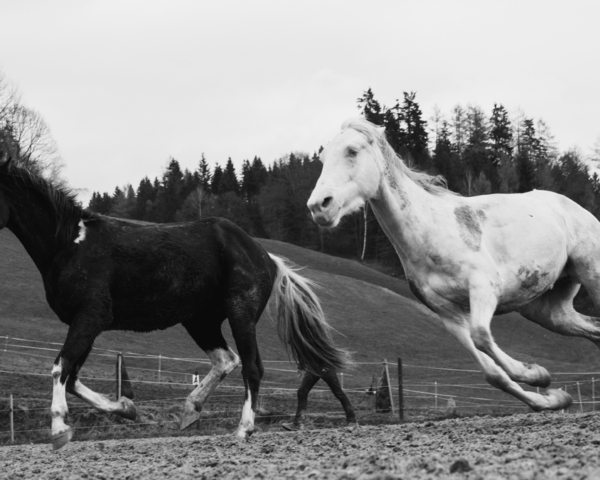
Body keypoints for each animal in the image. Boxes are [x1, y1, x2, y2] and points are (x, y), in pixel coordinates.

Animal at [0, 145, 352, 450]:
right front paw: (126, 407)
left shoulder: (90, 317)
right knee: (226, 360)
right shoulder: (83, 322)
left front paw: (59, 429)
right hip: (200, 321)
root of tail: (264, 256)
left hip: (240, 315)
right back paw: (191, 410)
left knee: (251, 368)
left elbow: (60, 368)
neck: (70, 246)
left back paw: (243, 428)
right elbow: (72, 377)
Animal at [308, 117, 600, 412]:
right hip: (547, 311)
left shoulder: (484, 289)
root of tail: (575, 208)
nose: (319, 206)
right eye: (322, 157)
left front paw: (536, 374)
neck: (431, 232)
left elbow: (482, 336)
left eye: (352, 151)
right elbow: (493, 374)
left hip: (592, 275)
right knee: (593, 328)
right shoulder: (446, 311)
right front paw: (552, 397)